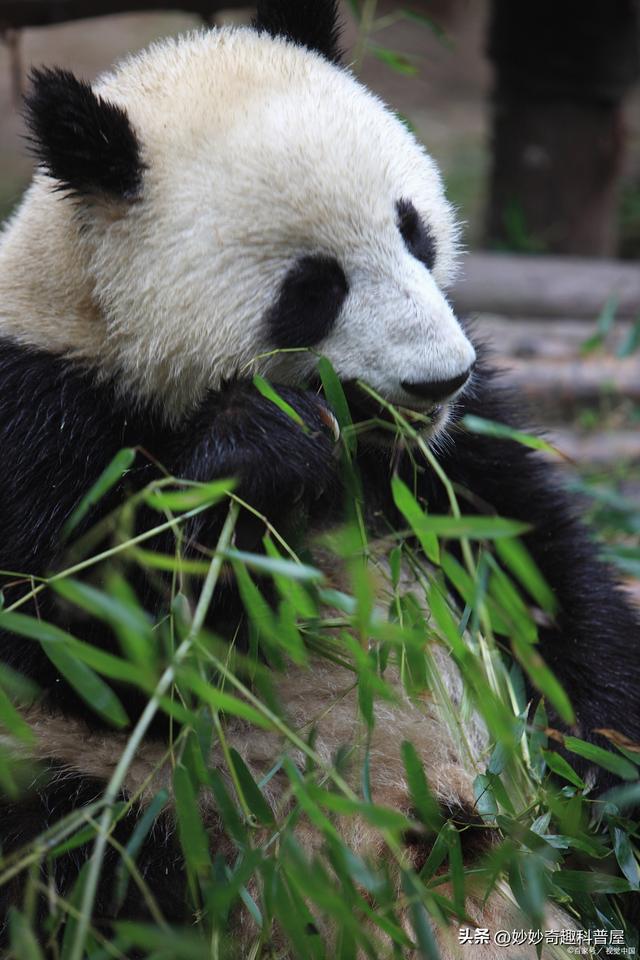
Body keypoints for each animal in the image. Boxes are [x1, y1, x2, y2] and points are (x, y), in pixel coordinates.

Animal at [0, 1, 636, 952]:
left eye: (415, 230)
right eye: (314, 286)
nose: (438, 381)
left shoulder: (451, 457)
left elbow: (542, 570)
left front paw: (603, 766)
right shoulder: (38, 416)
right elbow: (98, 631)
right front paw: (263, 454)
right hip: (143, 801)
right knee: (93, 852)